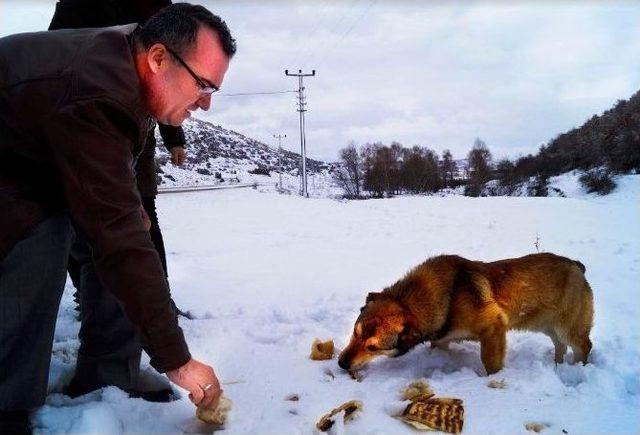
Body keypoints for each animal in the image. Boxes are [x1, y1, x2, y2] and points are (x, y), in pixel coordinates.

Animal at [340, 254, 596, 376]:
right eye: (355, 333)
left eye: (373, 347)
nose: (341, 363)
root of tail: (577, 266)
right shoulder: (441, 340)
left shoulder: (494, 328)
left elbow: (490, 362)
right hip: (548, 325)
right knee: (560, 344)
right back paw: (557, 366)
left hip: (569, 327)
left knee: (583, 345)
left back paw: (578, 368)